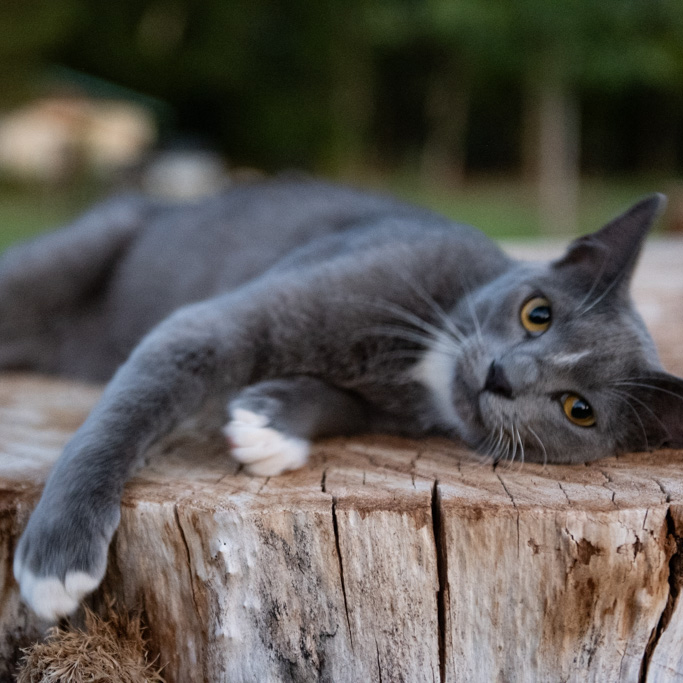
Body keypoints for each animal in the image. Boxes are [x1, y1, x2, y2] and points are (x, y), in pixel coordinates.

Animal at [6, 176, 683, 620]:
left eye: (579, 410)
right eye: (537, 313)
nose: (503, 375)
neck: (422, 368)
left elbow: (342, 404)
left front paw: (269, 422)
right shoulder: (211, 323)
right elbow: (124, 413)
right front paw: (57, 559)